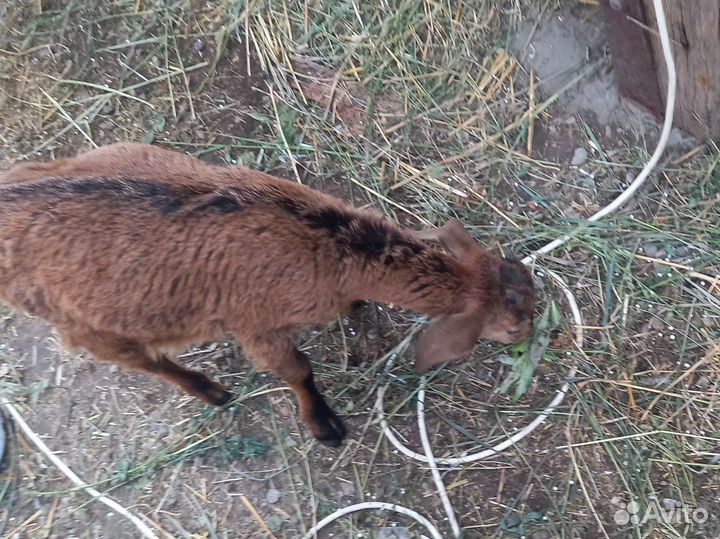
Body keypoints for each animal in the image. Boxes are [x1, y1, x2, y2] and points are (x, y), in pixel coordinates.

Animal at [0, 143, 535, 446]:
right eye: (512, 327)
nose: (534, 338)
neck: (326, 245)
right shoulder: (255, 322)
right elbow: (297, 370)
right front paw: (325, 427)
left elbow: (353, 308)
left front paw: (362, 330)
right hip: (82, 322)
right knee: (145, 360)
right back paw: (212, 392)